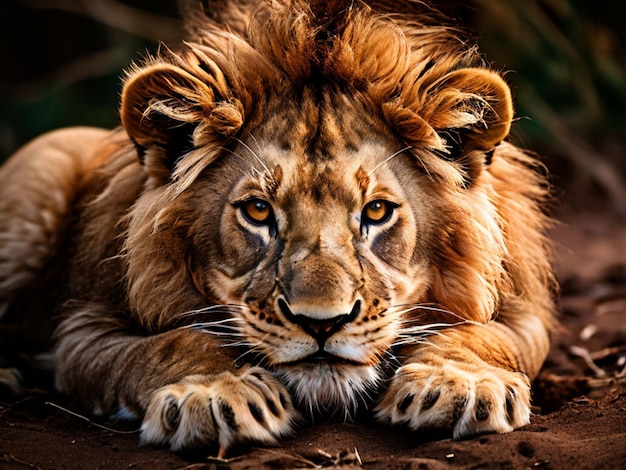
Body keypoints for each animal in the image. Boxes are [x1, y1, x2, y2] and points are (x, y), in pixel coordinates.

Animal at [0, 0, 556, 458]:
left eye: (376, 212)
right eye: (258, 212)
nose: (322, 324)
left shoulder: (526, 315)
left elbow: (480, 334)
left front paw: (461, 384)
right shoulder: (83, 330)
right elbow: (169, 344)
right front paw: (216, 393)